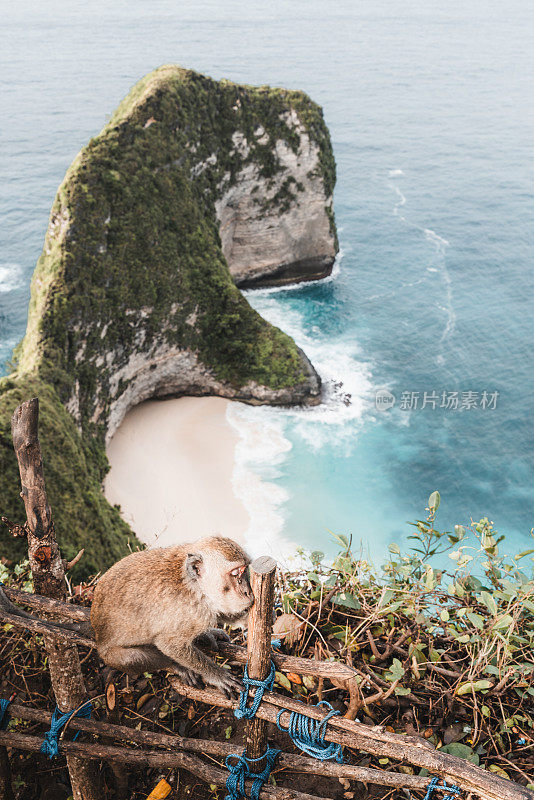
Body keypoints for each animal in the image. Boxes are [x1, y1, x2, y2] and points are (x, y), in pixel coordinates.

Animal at [0, 536, 254, 700]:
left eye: (245, 573)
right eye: (236, 575)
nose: (248, 593)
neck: (194, 587)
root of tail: (95, 628)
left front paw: (210, 633)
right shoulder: (190, 610)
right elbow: (169, 644)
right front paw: (215, 674)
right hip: (111, 655)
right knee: (134, 658)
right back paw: (175, 667)